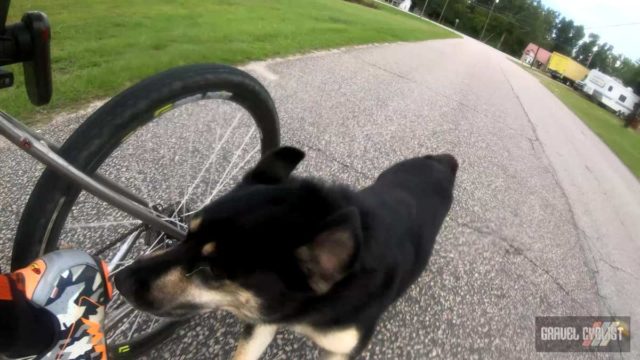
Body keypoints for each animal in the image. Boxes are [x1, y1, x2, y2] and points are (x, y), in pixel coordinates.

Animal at [114, 147, 456, 360]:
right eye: (186, 232)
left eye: (213, 271)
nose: (118, 280)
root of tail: (441, 160)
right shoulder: (262, 318)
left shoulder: (340, 348)